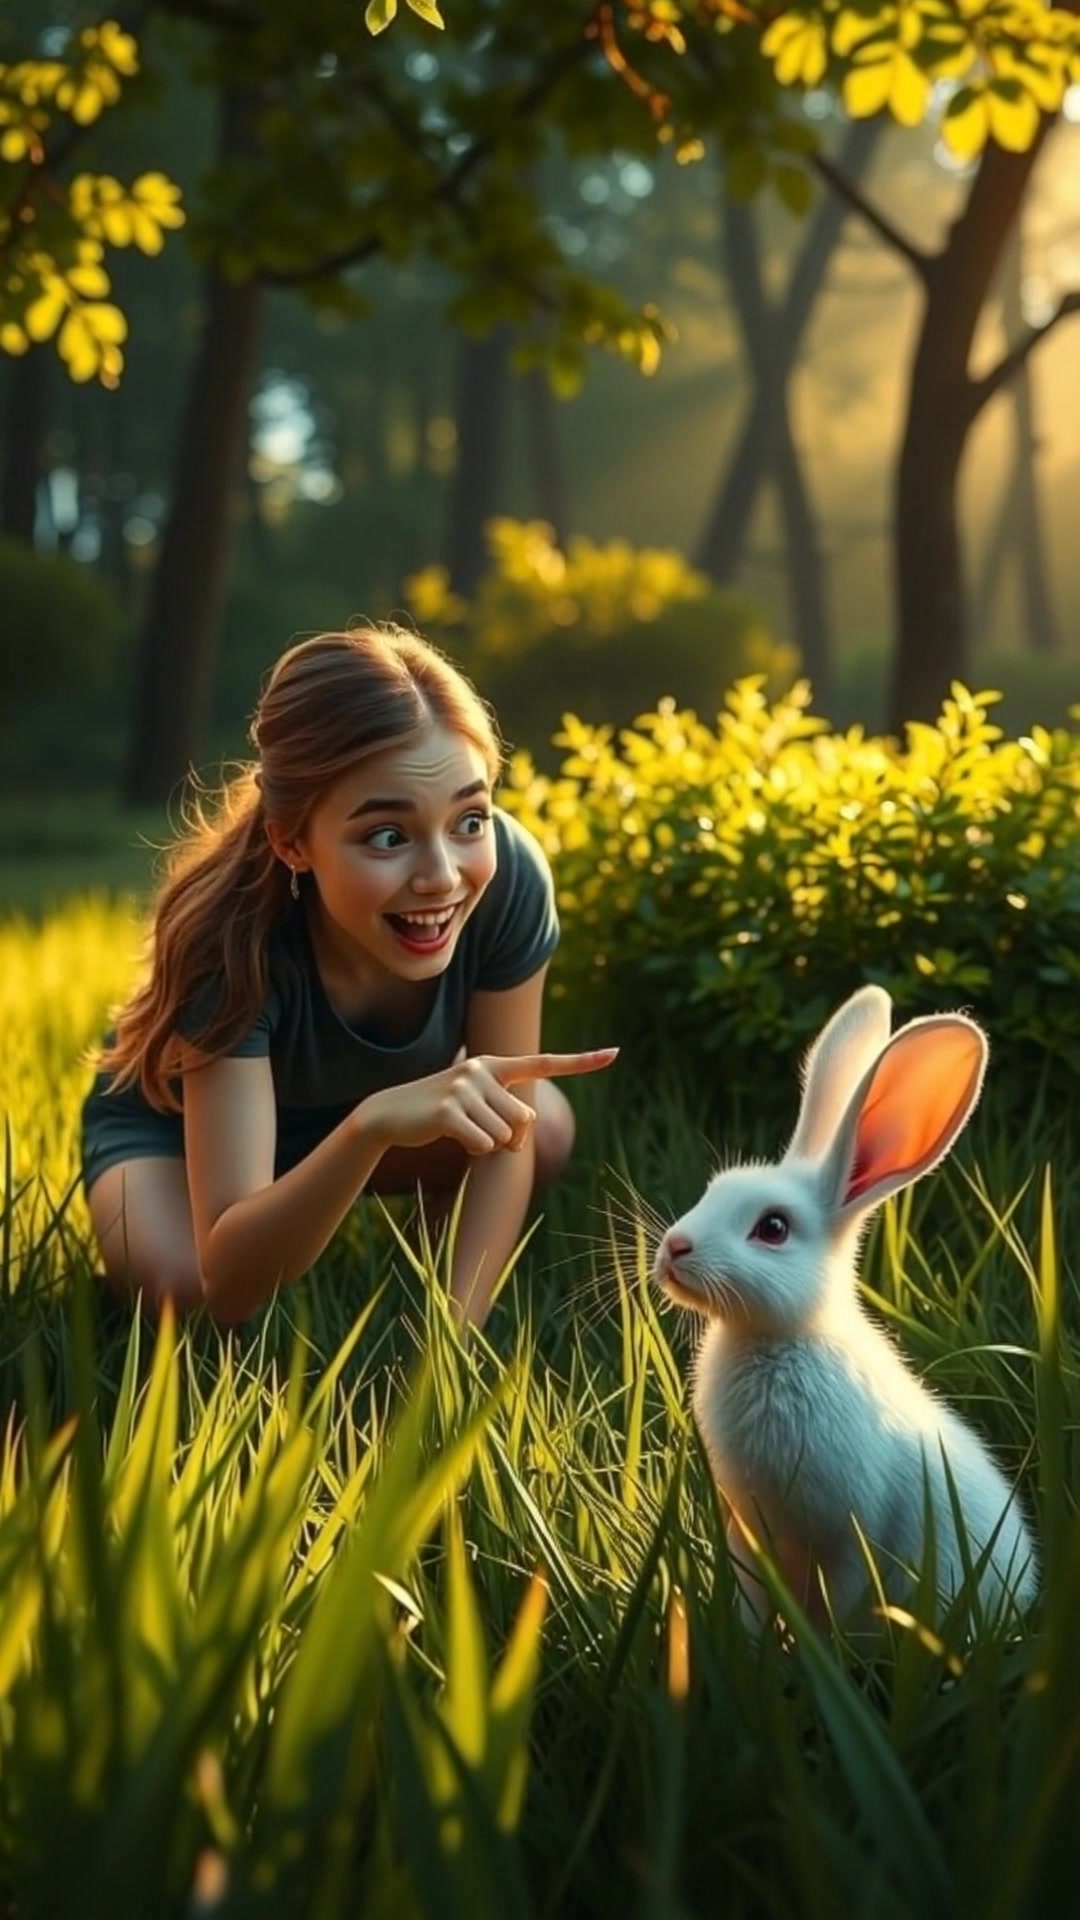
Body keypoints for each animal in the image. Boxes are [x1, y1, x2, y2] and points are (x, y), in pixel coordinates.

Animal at [652, 984, 1039, 1635]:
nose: (674, 1248)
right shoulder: (749, 1534)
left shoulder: (851, 1538)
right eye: (712, 1190)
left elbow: (845, 1607)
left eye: (774, 1228)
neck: (779, 1337)